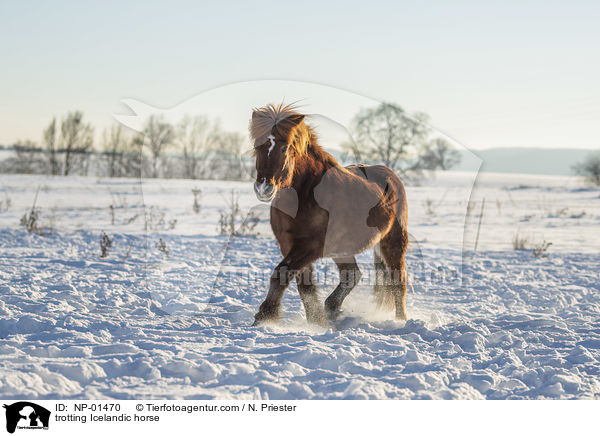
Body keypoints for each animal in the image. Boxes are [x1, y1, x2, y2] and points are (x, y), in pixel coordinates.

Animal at [248, 104, 408, 326]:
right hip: (343, 249)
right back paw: (331, 308)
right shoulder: (289, 245)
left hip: (392, 241)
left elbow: (281, 274)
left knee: (397, 281)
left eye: (284, 148)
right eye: (257, 147)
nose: (264, 188)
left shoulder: (310, 245)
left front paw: (264, 317)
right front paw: (316, 321)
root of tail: (391, 176)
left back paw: (401, 321)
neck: (306, 194)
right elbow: (304, 285)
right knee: (352, 274)